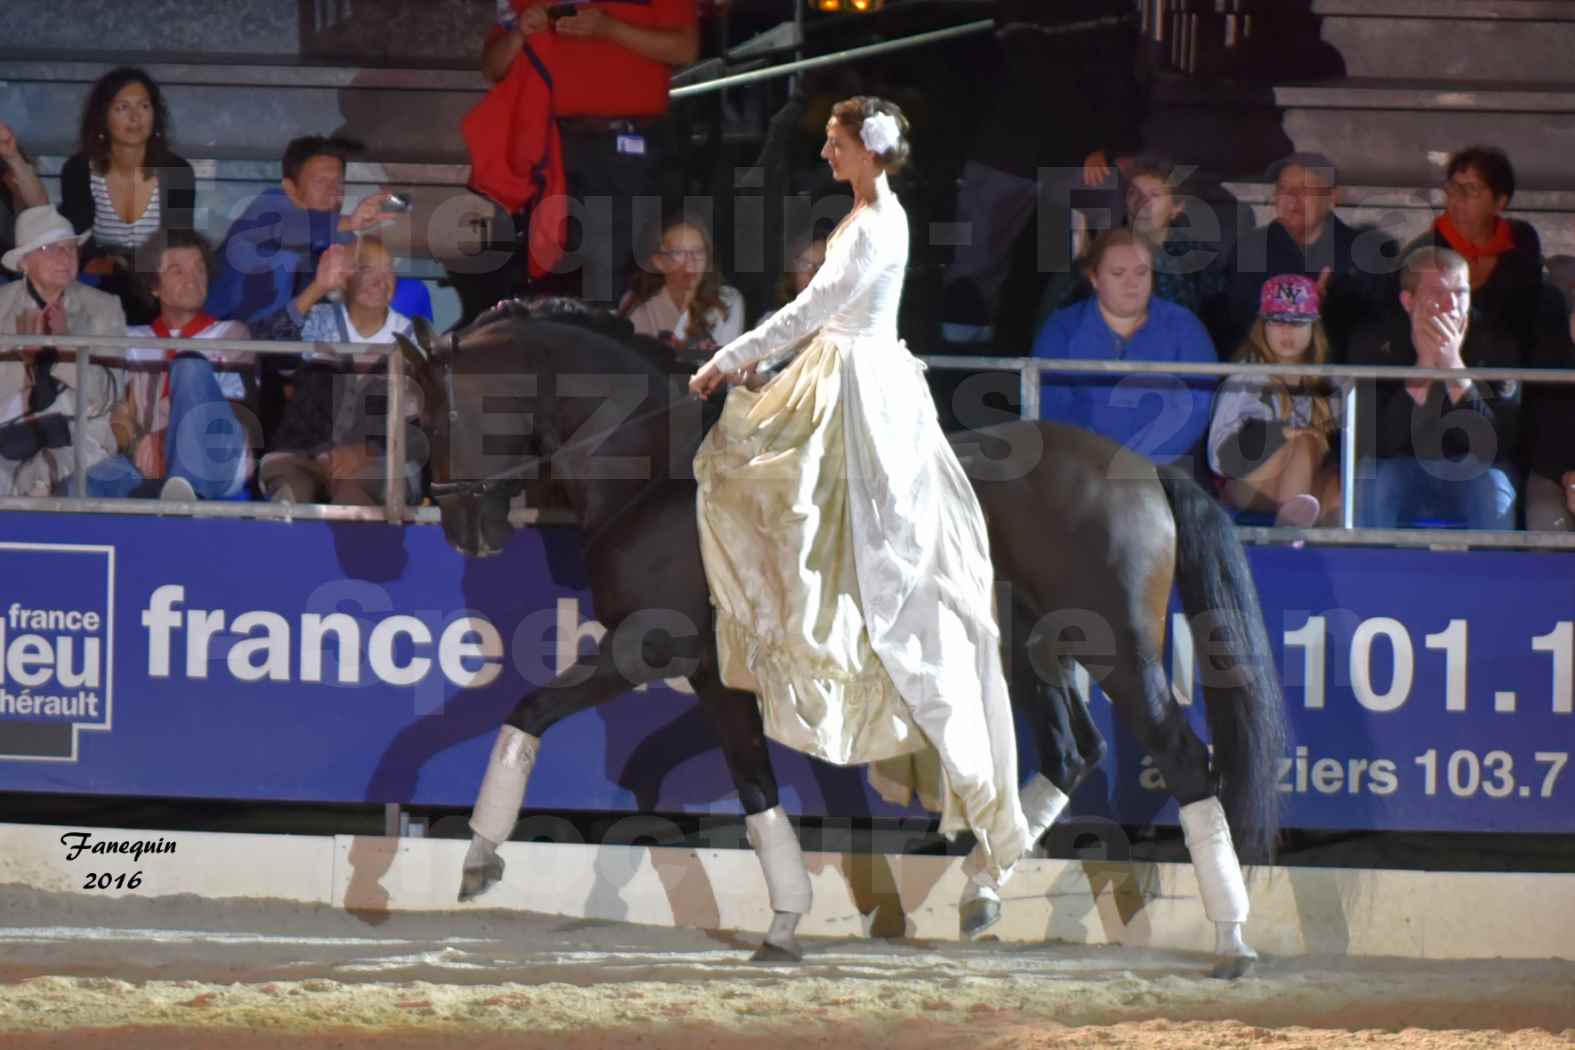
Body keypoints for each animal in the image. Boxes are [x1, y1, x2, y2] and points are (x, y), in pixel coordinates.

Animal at [400, 295, 1285, 976]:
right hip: (1033, 651)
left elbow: (531, 712)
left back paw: (1232, 939)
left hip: (1117, 652)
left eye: (431, 414)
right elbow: (749, 787)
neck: (657, 475)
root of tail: (1146, 472)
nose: (463, 530)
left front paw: (480, 856)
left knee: (1181, 761)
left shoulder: (650, 647)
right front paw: (784, 921)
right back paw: (981, 889)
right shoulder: (711, 675)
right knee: (1074, 752)